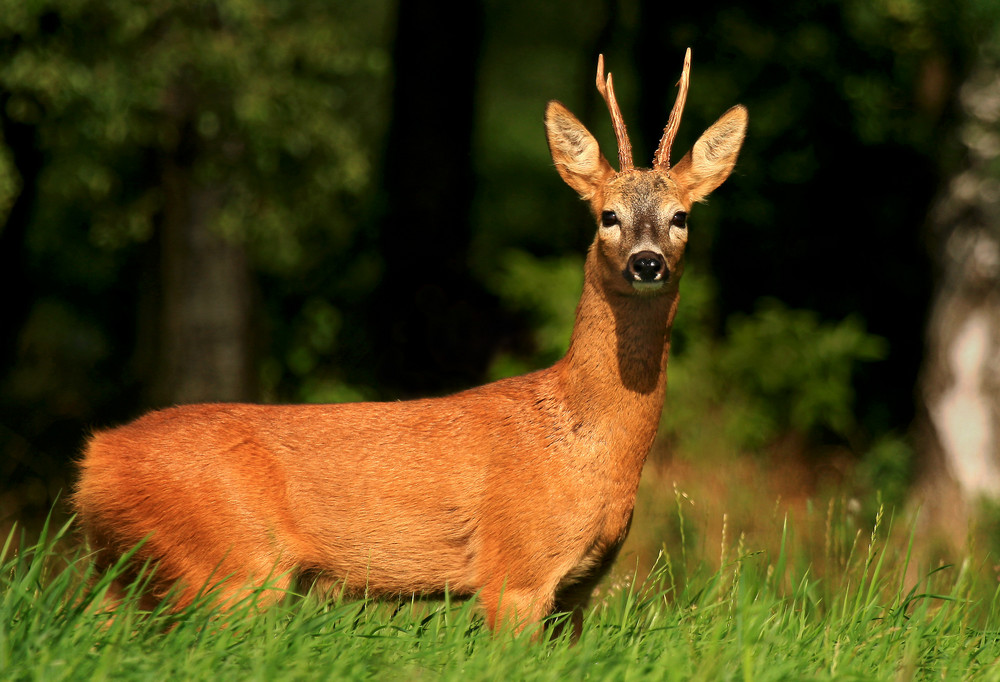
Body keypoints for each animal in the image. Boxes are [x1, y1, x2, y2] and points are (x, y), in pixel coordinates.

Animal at [74, 51, 748, 636]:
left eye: (681, 217)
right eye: (608, 215)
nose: (647, 262)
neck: (584, 438)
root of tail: (95, 461)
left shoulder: (578, 590)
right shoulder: (517, 570)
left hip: (131, 572)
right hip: (231, 566)